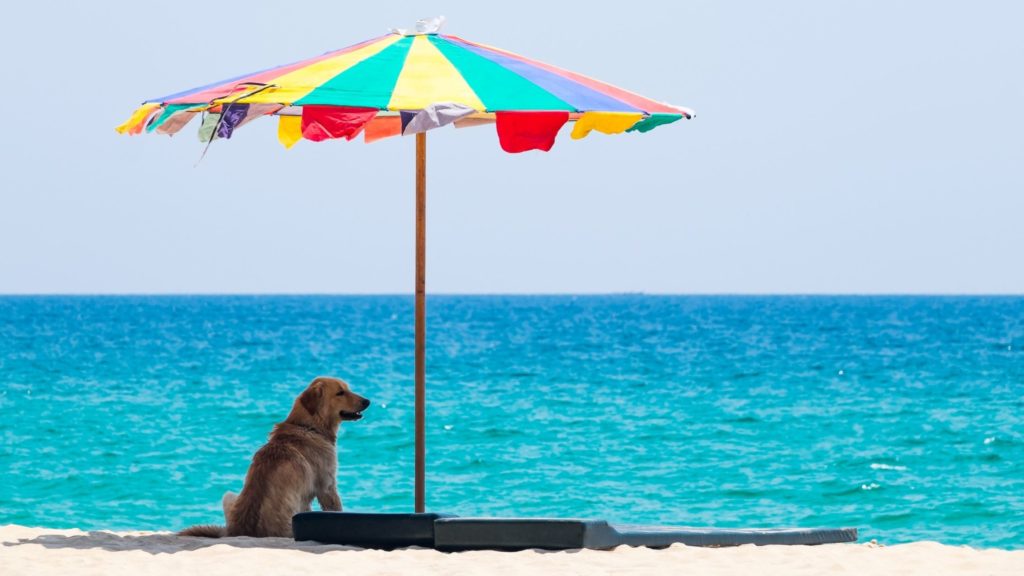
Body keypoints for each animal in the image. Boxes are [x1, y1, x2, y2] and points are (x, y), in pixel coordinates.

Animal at [181, 375, 372, 537]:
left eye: (347, 389)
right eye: (340, 392)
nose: (367, 401)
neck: (308, 426)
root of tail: (236, 531)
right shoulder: (327, 487)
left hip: (228, 495)